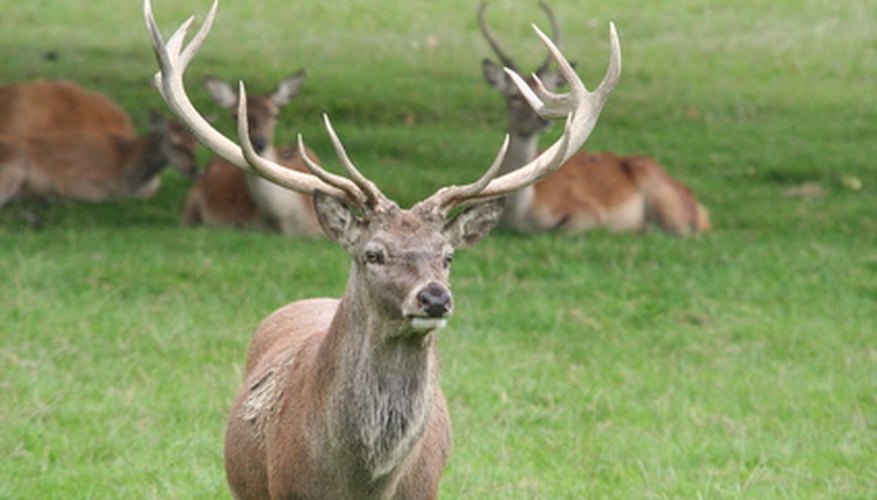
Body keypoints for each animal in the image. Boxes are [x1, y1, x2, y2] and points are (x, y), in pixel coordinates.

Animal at [476, 1, 708, 236]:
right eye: (513, 97)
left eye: (549, 90)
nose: (543, 121)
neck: (519, 217)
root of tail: (700, 208)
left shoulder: (586, 212)